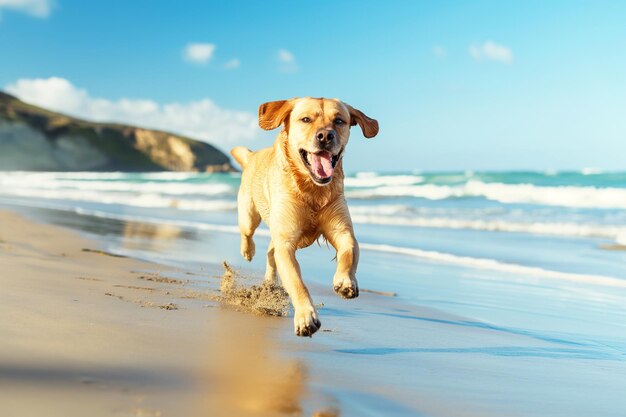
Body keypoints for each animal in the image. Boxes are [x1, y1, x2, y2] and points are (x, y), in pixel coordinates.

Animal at [229, 96, 376, 334]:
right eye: (306, 119)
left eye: (339, 120)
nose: (325, 136)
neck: (312, 188)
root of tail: (253, 155)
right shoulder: (287, 243)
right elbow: (297, 282)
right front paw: (306, 316)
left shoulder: (342, 229)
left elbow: (349, 252)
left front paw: (345, 281)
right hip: (250, 214)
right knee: (248, 233)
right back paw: (248, 251)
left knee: (270, 254)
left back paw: (269, 284)